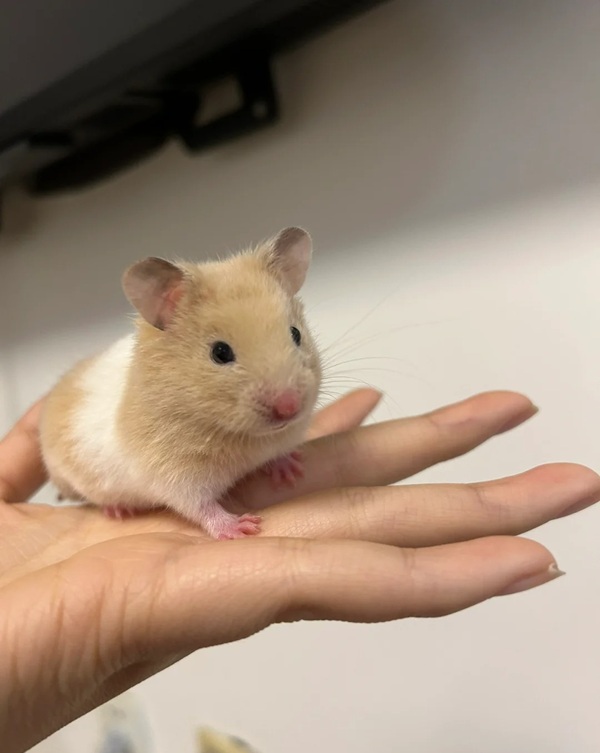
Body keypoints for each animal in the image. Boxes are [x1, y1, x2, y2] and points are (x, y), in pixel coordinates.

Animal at [39, 227, 322, 539]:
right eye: (220, 353)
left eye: (296, 333)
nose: (289, 408)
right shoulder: (175, 476)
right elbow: (201, 507)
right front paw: (241, 528)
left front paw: (292, 471)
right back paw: (119, 511)